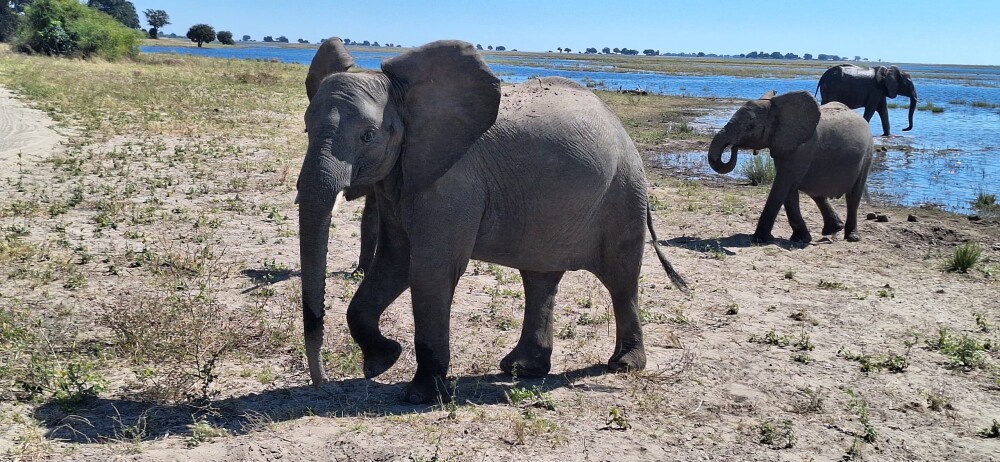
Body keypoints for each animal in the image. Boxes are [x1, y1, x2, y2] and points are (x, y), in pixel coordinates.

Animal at [297, 38, 688, 403]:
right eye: (306, 129)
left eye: (368, 136)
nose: (321, 383)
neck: (403, 94)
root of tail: (623, 131)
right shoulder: (402, 178)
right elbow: (394, 262)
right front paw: (383, 361)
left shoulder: (454, 182)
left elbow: (430, 268)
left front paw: (420, 395)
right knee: (540, 279)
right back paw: (522, 369)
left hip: (623, 193)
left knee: (621, 277)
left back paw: (623, 365)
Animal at [708, 91, 874, 244]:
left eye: (751, 127)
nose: (734, 147)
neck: (777, 108)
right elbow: (789, 191)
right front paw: (800, 239)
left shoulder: (802, 148)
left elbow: (783, 185)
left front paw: (759, 239)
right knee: (815, 192)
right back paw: (833, 229)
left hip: (867, 154)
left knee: (853, 197)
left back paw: (852, 237)